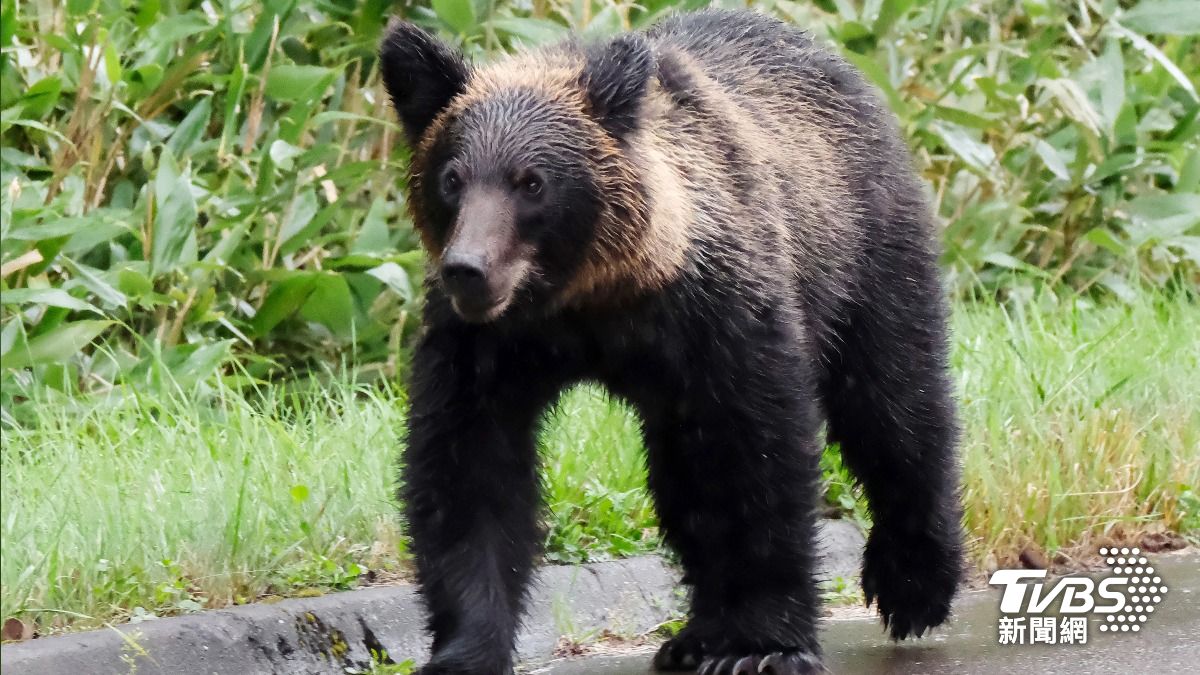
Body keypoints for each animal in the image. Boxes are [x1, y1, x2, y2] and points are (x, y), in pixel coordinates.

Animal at [379, 6, 960, 672]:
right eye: (451, 178)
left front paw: (763, 643)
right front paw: (465, 648)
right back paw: (695, 636)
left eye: (532, 182)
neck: (591, 299)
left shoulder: (720, 317)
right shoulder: (486, 351)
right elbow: (468, 471)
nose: (468, 270)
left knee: (895, 405)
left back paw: (914, 585)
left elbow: (755, 459)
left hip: (865, 256)